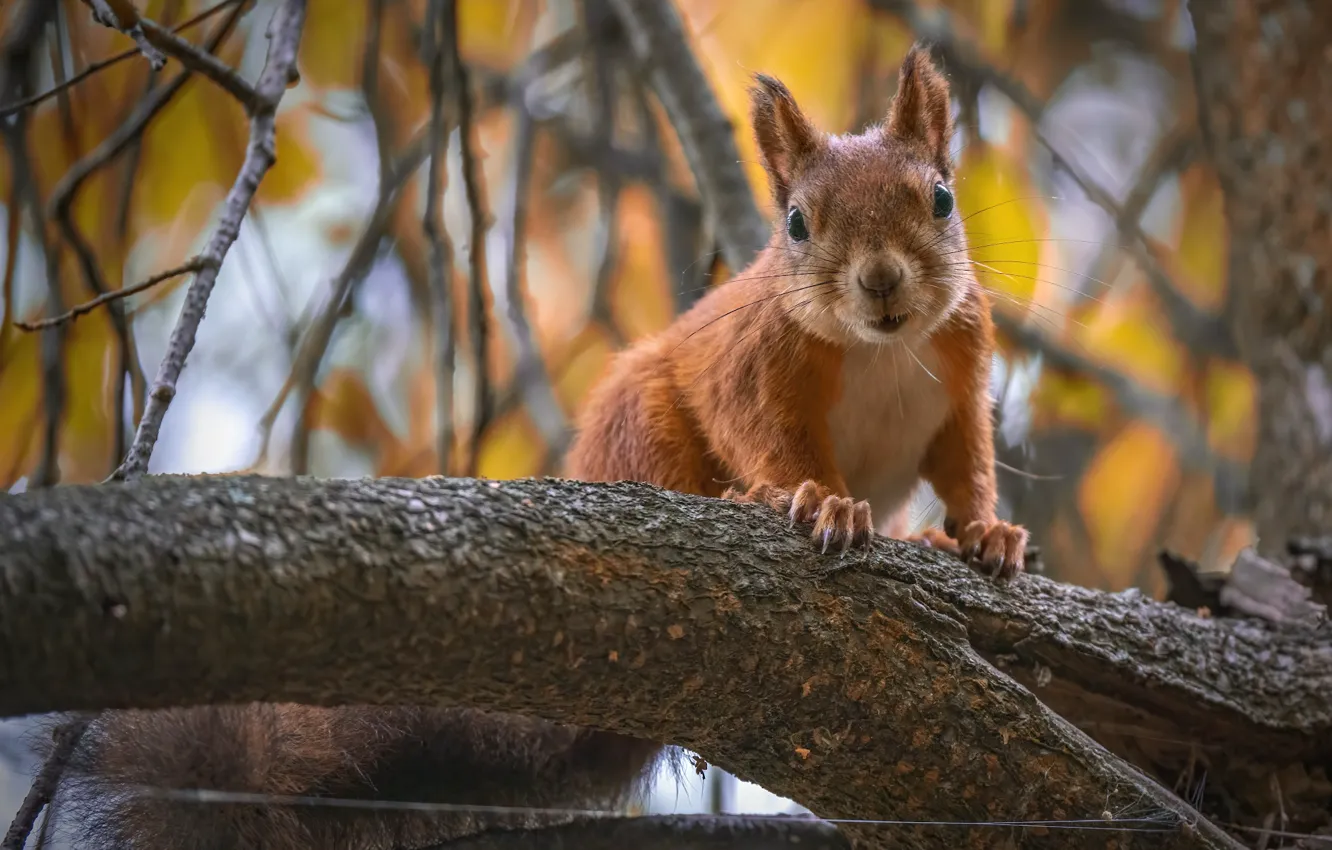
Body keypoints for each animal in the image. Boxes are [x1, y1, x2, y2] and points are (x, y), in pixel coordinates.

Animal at [51, 44, 1022, 850]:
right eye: (796, 224)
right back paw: (734, 502)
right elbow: (770, 438)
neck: (882, 347)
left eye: (941, 198)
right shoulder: (754, 370)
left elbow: (966, 459)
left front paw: (983, 533)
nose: (882, 281)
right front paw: (814, 499)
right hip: (638, 420)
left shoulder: (960, 371)